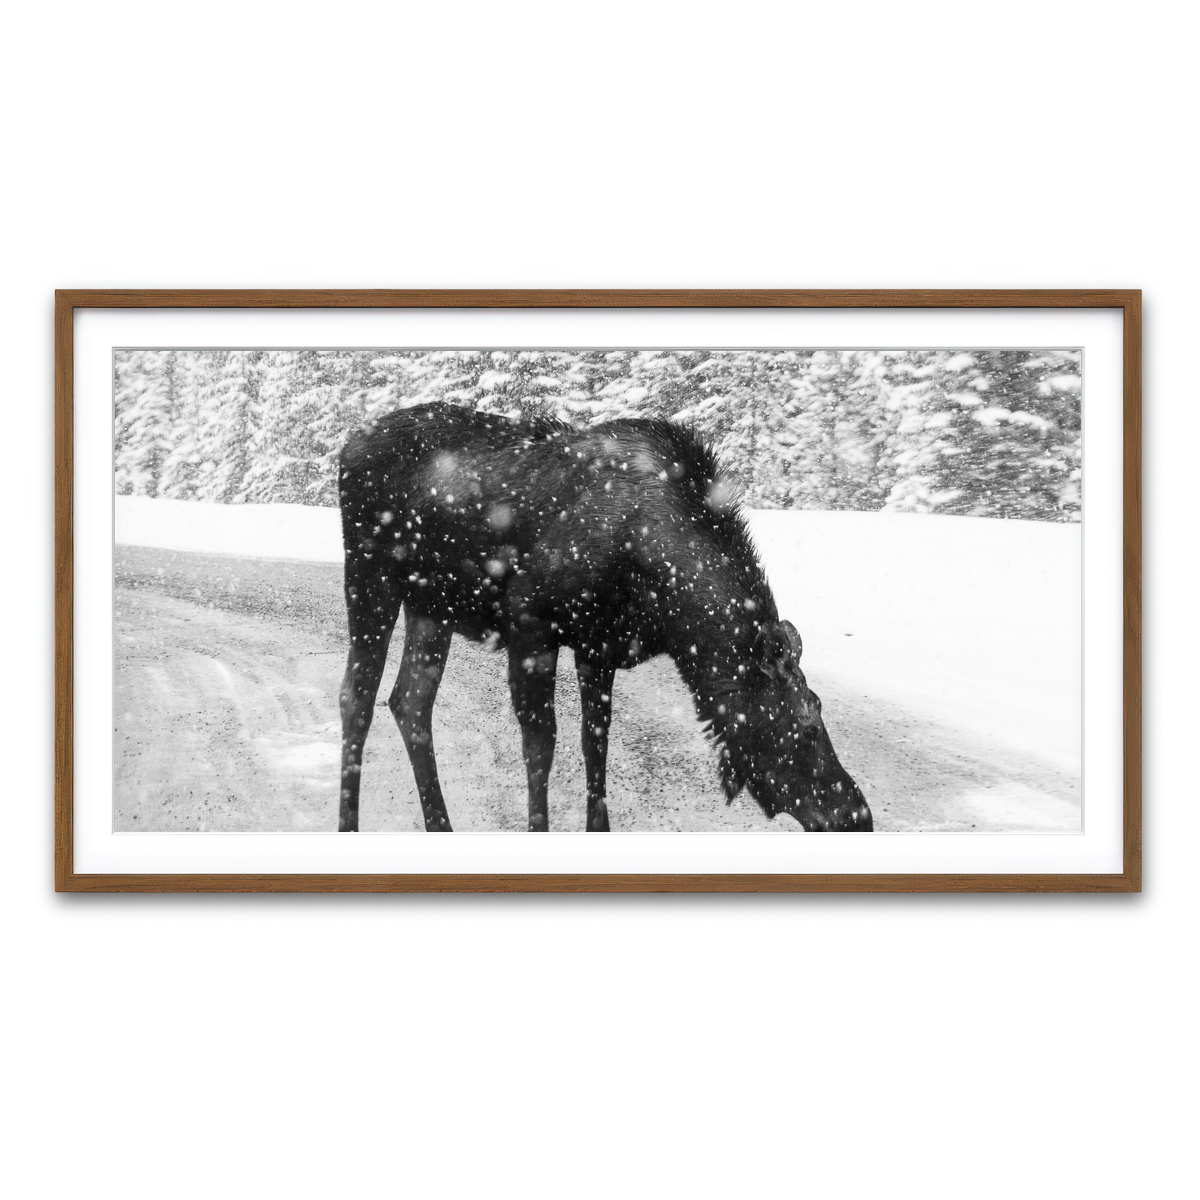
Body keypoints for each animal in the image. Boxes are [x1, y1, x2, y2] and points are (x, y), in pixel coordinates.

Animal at [337, 402, 872, 833]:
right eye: (805, 725)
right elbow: (542, 746)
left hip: (432, 605)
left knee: (409, 701)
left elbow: (595, 745)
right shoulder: (531, 625)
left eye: (819, 707)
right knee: (357, 698)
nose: (857, 815)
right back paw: (349, 824)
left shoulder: (599, 647)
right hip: (370, 577)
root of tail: (346, 446)